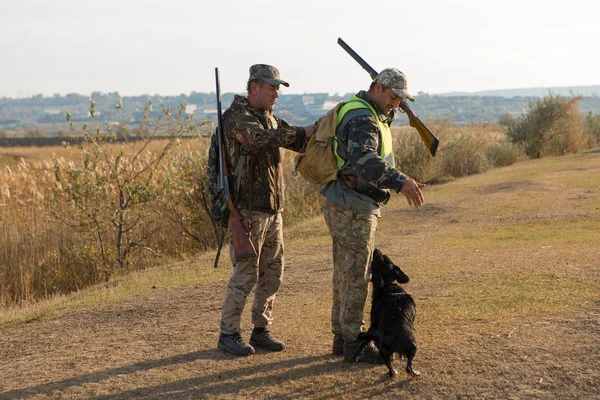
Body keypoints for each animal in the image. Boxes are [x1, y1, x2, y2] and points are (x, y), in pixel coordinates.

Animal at [350, 248, 420, 376]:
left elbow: (363, 342)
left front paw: (354, 356)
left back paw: (393, 372)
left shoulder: (373, 325)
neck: (387, 286)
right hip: (413, 346)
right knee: (408, 367)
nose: (376, 249)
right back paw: (415, 373)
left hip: (384, 350)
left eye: (384, 258)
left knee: (389, 364)